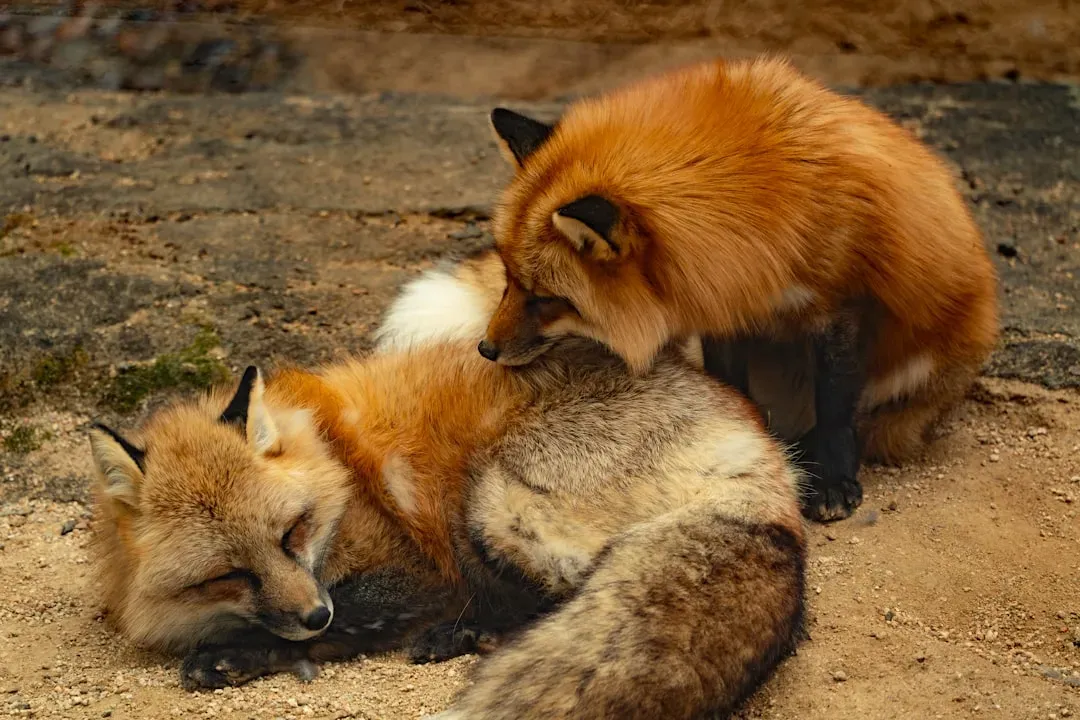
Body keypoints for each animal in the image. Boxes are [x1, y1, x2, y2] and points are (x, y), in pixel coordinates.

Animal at [87, 263, 807, 719]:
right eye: (229, 573)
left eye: (293, 533)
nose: (313, 614)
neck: (333, 465)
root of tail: (765, 456)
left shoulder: (413, 571)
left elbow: (348, 618)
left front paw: (234, 655)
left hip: (488, 502)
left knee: (550, 597)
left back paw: (466, 635)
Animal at [475, 55, 1000, 522]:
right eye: (508, 279)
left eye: (546, 299)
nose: (485, 349)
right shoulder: (722, 299)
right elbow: (730, 384)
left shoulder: (842, 304)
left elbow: (835, 403)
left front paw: (831, 478)